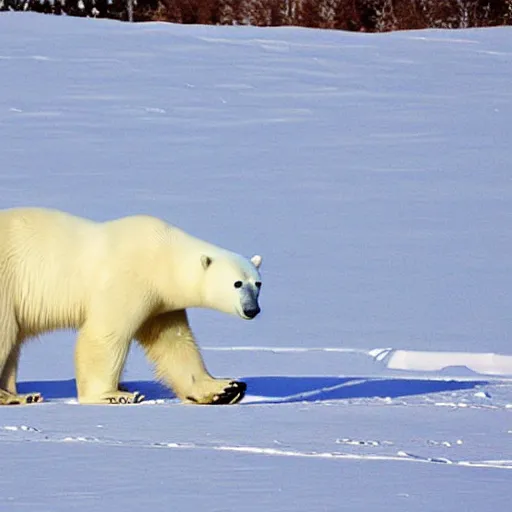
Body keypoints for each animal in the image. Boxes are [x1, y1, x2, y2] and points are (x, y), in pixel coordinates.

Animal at [0, 206, 262, 406]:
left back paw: (21, 395)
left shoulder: (162, 305)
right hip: (7, 284)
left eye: (258, 283)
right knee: (6, 334)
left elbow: (174, 344)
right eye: (237, 283)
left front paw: (227, 388)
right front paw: (114, 395)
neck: (163, 255)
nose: (253, 309)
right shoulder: (127, 280)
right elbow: (104, 337)